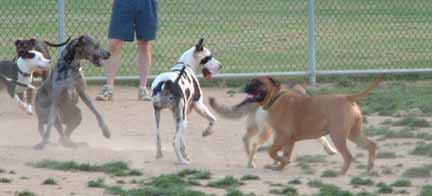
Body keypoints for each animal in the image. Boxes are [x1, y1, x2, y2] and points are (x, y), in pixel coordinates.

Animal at [151, 37, 223, 165]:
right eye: (208, 57)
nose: (221, 66)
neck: (186, 66)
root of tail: (166, 83)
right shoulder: (199, 106)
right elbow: (213, 119)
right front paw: (206, 132)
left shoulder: (177, 116)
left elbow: (182, 141)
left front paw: (185, 153)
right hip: (184, 121)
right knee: (174, 142)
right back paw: (182, 161)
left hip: (159, 118)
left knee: (158, 137)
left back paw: (159, 155)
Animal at [208, 83, 338, 168]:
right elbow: (323, 138)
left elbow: (323, 139)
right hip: (267, 131)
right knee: (255, 144)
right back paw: (251, 163)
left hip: (255, 128)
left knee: (245, 139)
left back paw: (252, 159)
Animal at [243, 76, 384, 174]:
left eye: (258, 82)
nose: (246, 86)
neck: (276, 98)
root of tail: (348, 97)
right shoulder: (288, 140)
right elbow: (284, 154)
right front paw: (280, 166)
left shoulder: (283, 137)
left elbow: (272, 151)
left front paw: (282, 162)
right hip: (353, 134)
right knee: (371, 144)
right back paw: (369, 167)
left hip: (338, 136)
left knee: (348, 156)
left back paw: (341, 172)